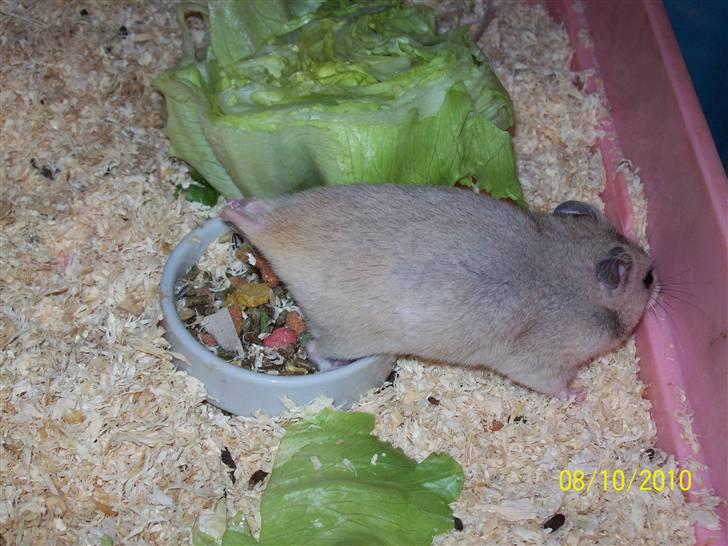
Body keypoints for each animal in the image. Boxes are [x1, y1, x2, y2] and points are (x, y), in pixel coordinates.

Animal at [220, 184, 655, 397]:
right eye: (648, 279)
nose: (658, 280)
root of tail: (277, 240)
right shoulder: (541, 364)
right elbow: (557, 385)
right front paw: (579, 395)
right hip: (347, 336)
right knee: (314, 347)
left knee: (259, 209)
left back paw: (233, 205)